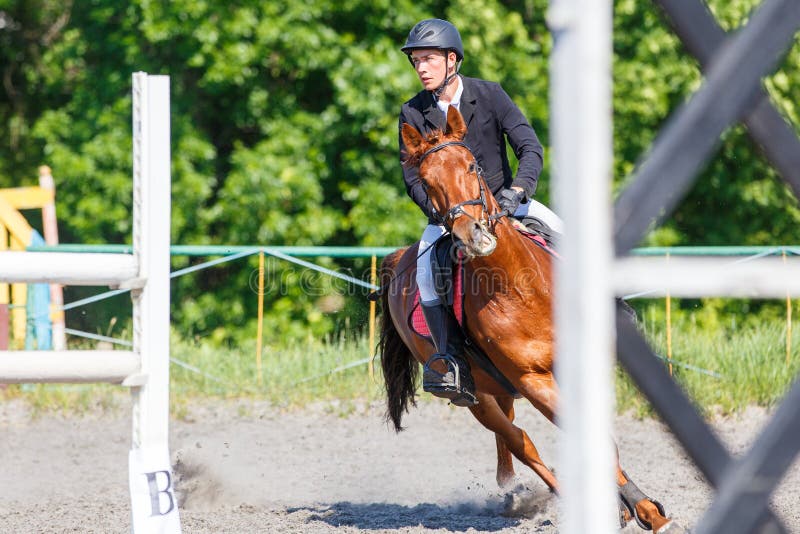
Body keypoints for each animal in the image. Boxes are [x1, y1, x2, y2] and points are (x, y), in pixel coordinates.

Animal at [378, 107, 684, 532]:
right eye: (426, 182)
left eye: (471, 165)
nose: (472, 236)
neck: (518, 287)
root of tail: (400, 258)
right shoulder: (533, 381)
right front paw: (636, 509)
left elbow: (602, 438)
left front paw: (645, 511)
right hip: (477, 396)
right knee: (519, 442)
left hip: (500, 387)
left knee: (511, 444)